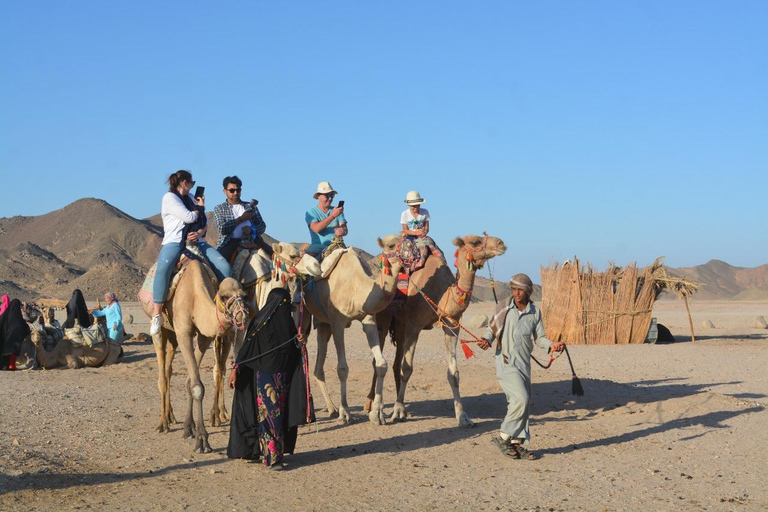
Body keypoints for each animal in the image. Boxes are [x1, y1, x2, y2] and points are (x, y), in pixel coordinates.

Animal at [138, 260, 246, 452]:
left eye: (244, 295)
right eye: (224, 296)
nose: (242, 314)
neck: (195, 296)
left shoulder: (204, 337)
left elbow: (190, 381)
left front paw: (190, 428)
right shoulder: (183, 333)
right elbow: (196, 386)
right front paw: (202, 440)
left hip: (173, 336)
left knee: (168, 369)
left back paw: (171, 416)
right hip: (160, 329)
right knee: (162, 376)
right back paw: (163, 423)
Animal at [207, 242, 320, 426]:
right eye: (293, 255)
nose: (317, 266)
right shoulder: (243, 332)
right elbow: (240, 360)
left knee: (221, 367)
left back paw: (223, 413)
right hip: (221, 332)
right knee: (218, 368)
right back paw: (215, 416)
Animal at [302, 236, 402, 424]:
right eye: (392, 245)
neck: (356, 286)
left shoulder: (369, 319)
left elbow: (381, 364)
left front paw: (377, 414)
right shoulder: (337, 322)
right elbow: (342, 368)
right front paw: (345, 412)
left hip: (323, 324)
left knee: (319, 362)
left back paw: (331, 408)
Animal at [368, 234, 508, 426]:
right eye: (475, 242)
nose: (501, 243)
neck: (442, 293)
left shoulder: (451, 325)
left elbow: (453, 373)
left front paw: (463, 417)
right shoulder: (414, 325)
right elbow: (407, 368)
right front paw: (397, 411)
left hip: (400, 322)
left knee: (395, 361)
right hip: (384, 315)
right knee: (378, 360)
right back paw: (374, 409)